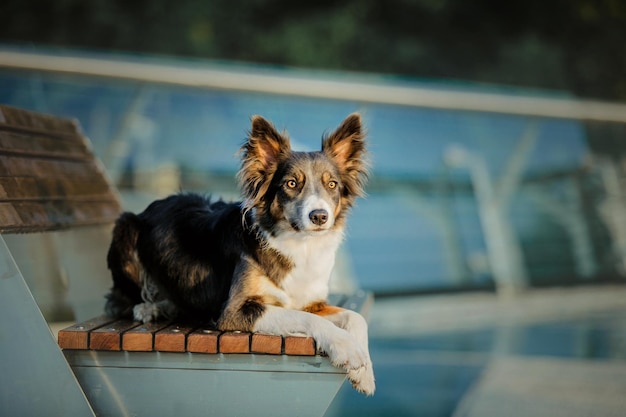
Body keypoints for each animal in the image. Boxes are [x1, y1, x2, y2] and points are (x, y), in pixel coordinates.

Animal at [105, 113, 372, 394]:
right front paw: (346, 347)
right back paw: (146, 308)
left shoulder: (313, 303)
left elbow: (355, 317)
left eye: (332, 184)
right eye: (291, 183)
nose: (320, 216)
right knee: (120, 300)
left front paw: (365, 373)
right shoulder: (234, 311)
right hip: (125, 227)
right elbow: (304, 317)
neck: (299, 244)